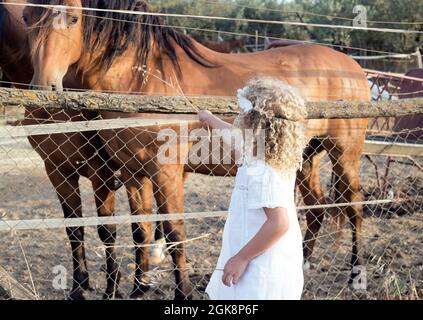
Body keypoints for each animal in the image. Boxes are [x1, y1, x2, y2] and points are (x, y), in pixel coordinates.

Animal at [24, 0, 372, 300]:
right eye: (27, 17)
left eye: (73, 18)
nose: (43, 90)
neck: (143, 79)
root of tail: (352, 66)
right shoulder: (134, 173)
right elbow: (140, 231)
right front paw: (138, 289)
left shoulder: (165, 173)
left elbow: (173, 232)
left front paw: (183, 292)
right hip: (305, 157)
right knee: (316, 206)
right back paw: (304, 265)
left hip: (344, 154)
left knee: (353, 205)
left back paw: (356, 276)